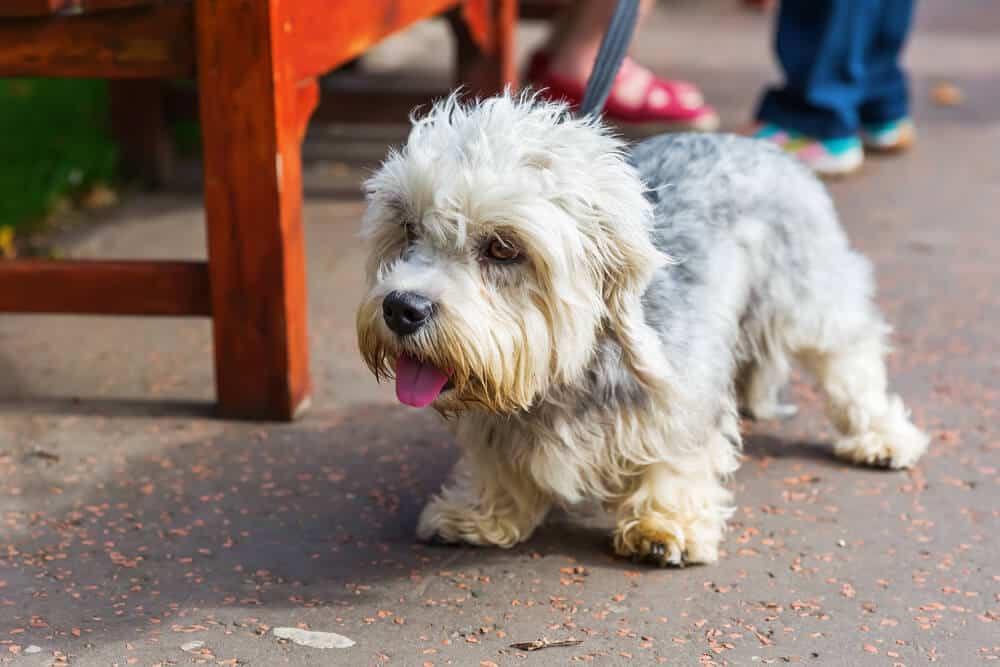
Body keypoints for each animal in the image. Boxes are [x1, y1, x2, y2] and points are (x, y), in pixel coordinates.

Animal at [354, 91, 928, 568]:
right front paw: (482, 513)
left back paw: (879, 436)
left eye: (502, 248)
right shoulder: (495, 419)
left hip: (808, 298)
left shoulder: (685, 395)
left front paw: (664, 524)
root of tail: (758, 145)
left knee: (851, 356)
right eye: (408, 228)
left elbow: (677, 454)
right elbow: (497, 463)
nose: (402, 308)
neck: (571, 370)